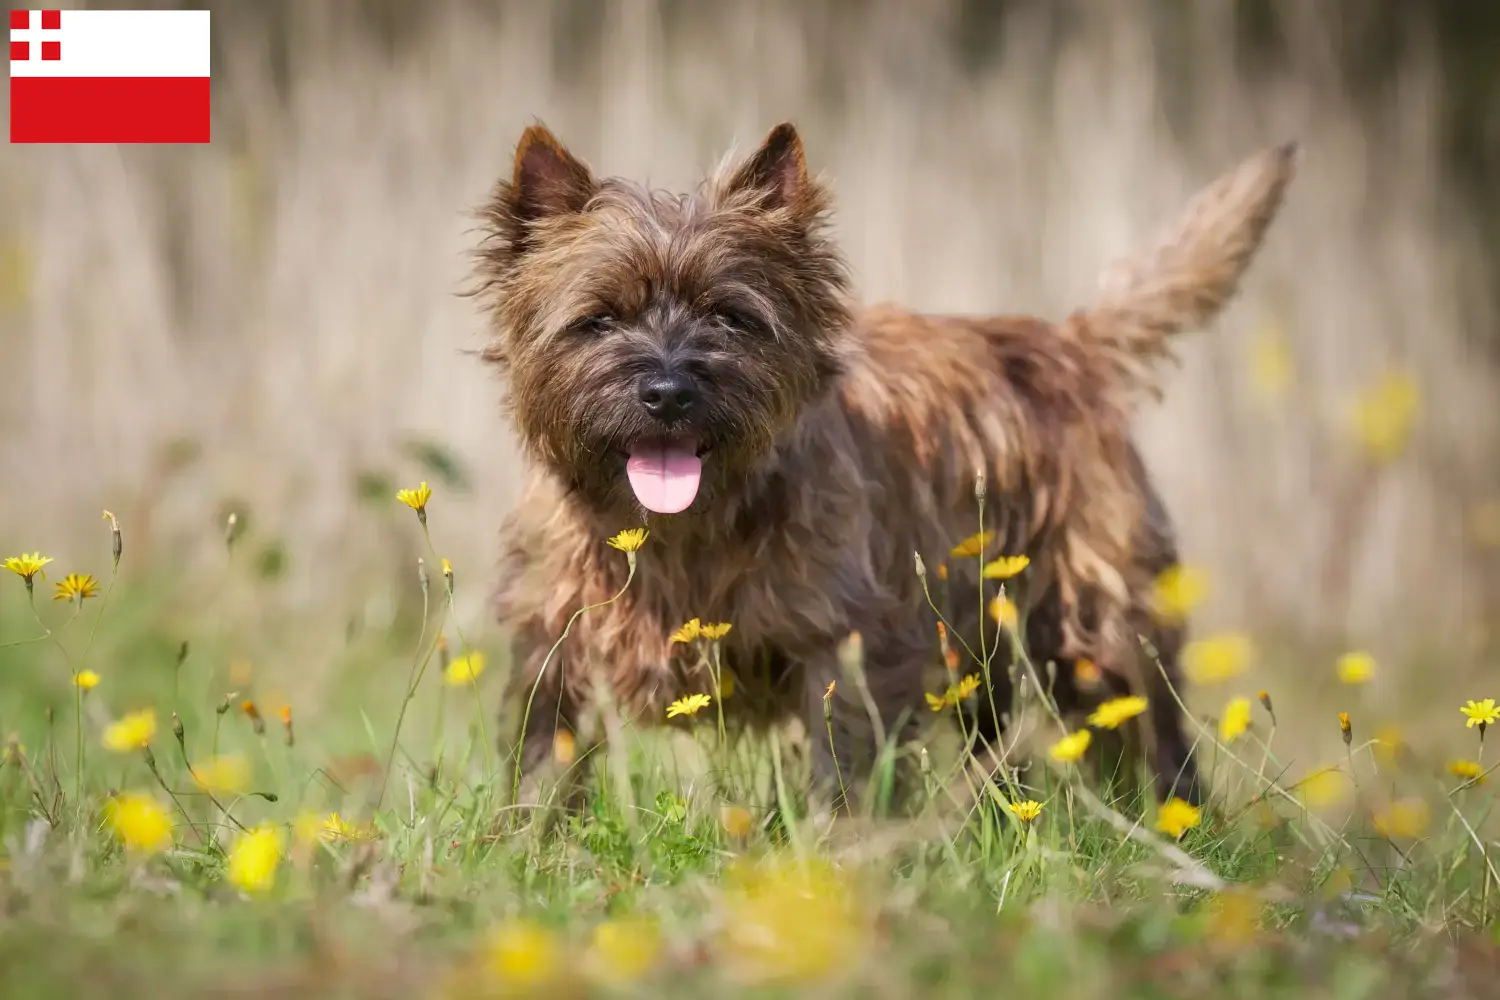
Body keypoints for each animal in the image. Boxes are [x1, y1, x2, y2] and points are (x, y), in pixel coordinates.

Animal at [474, 122, 1296, 815]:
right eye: (599, 319)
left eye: (728, 317)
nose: (669, 391)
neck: (679, 531)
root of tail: (1070, 345)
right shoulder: (554, 633)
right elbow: (544, 753)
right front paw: (530, 840)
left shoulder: (845, 640)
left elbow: (840, 759)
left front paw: (831, 856)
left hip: (1099, 621)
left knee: (1149, 729)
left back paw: (1173, 824)